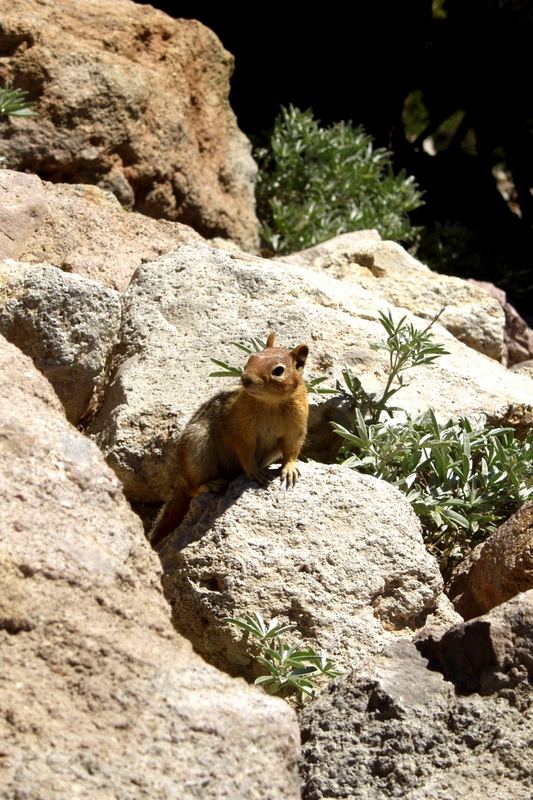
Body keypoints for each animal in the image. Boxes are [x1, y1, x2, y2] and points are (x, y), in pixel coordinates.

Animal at [149, 334, 308, 548]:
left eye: (278, 370)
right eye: (251, 358)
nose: (245, 379)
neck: (270, 403)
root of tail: (182, 477)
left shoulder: (296, 429)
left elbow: (292, 450)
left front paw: (289, 469)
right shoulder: (238, 428)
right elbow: (244, 450)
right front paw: (255, 471)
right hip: (197, 449)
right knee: (192, 490)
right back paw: (210, 485)